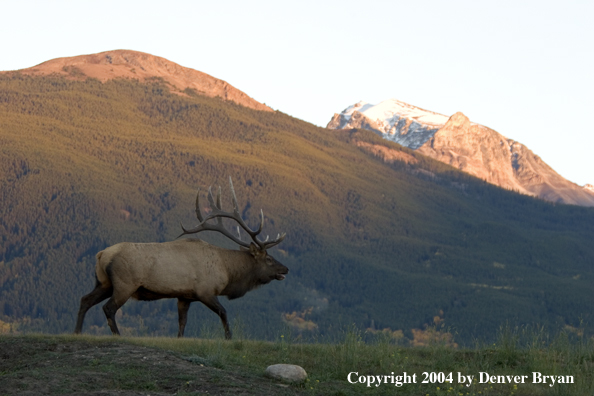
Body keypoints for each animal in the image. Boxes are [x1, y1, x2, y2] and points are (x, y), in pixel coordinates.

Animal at [74, 178, 286, 338]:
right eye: (268, 259)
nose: (285, 269)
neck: (227, 272)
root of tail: (101, 255)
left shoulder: (185, 296)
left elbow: (182, 322)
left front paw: (180, 338)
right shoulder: (205, 290)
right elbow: (223, 312)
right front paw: (229, 337)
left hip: (104, 282)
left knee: (85, 299)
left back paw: (77, 331)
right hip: (124, 284)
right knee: (109, 308)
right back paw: (118, 335)